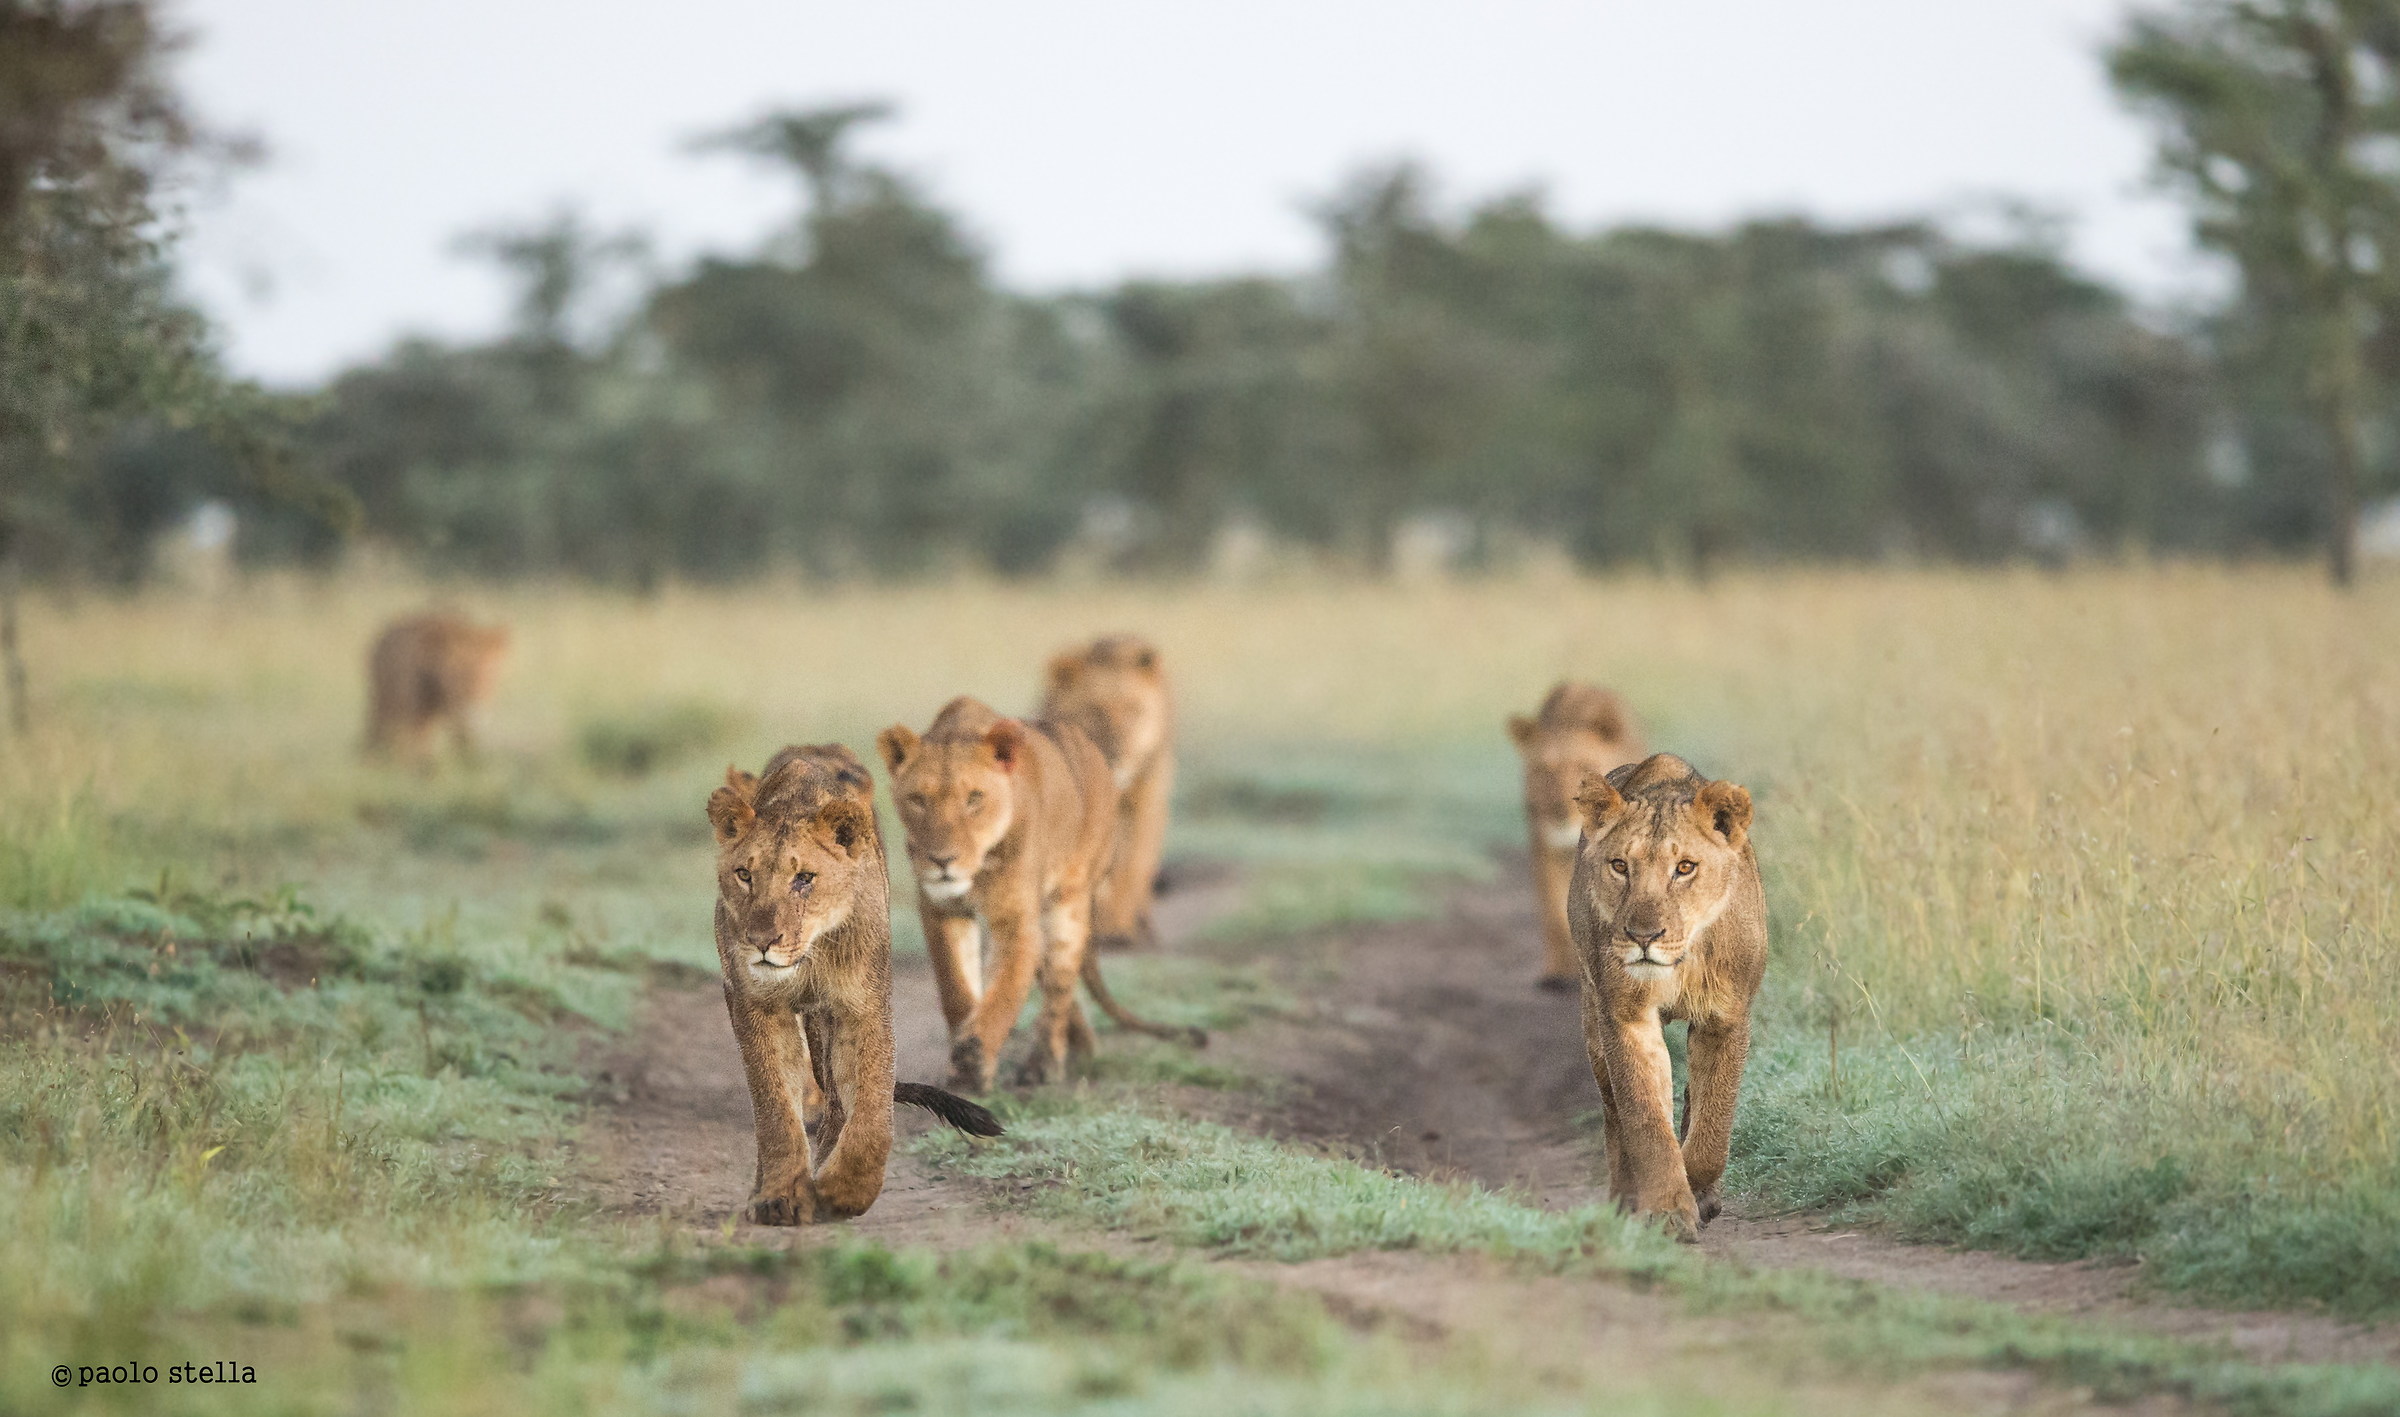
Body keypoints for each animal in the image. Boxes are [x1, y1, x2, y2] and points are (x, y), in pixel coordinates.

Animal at [707, 743, 1001, 1226]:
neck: (808, 955)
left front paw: (843, 1191)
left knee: (838, 1105)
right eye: (744, 875)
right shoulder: (755, 1003)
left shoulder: (862, 1006)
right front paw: (778, 1195)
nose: (762, 942)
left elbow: (871, 1110)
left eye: (804, 878)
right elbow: (774, 1105)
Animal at [878, 697, 1205, 1093]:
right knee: (1049, 975)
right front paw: (963, 1055)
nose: (942, 860)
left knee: (1058, 986)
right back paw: (1083, 1044)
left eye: (974, 798)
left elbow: (1003, 994)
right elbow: (955, 988)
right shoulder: (941, 911)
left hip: (1070, 899)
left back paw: (1045, 1065)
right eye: (917, 799)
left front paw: (973, 1061)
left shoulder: (1016, 921)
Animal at [1039, 635, 1174, 952]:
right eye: (1096, 710)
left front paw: (1118, 930)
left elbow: (1130, 866)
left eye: (1134, 710)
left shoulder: (1143, 804)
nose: (1120, 753)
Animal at [1508, 682, 1644, 990]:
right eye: (1544, 769)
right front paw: (1557, 974)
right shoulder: (1543, 847)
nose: (1561, 807)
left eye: (1583, 766)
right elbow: (1555, 915)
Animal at [1567, 752, 1765, 1243]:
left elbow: (1713, 1127)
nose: (1643, 936)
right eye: (1620, 866)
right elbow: (1645, 1120)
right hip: (1592, 1021)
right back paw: (1625, 1200)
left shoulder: (1726, 1018)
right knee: (1614, 1114)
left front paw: (1698, 1193)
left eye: (1685, 868)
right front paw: (1668, 1209)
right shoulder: (1624, 1017)